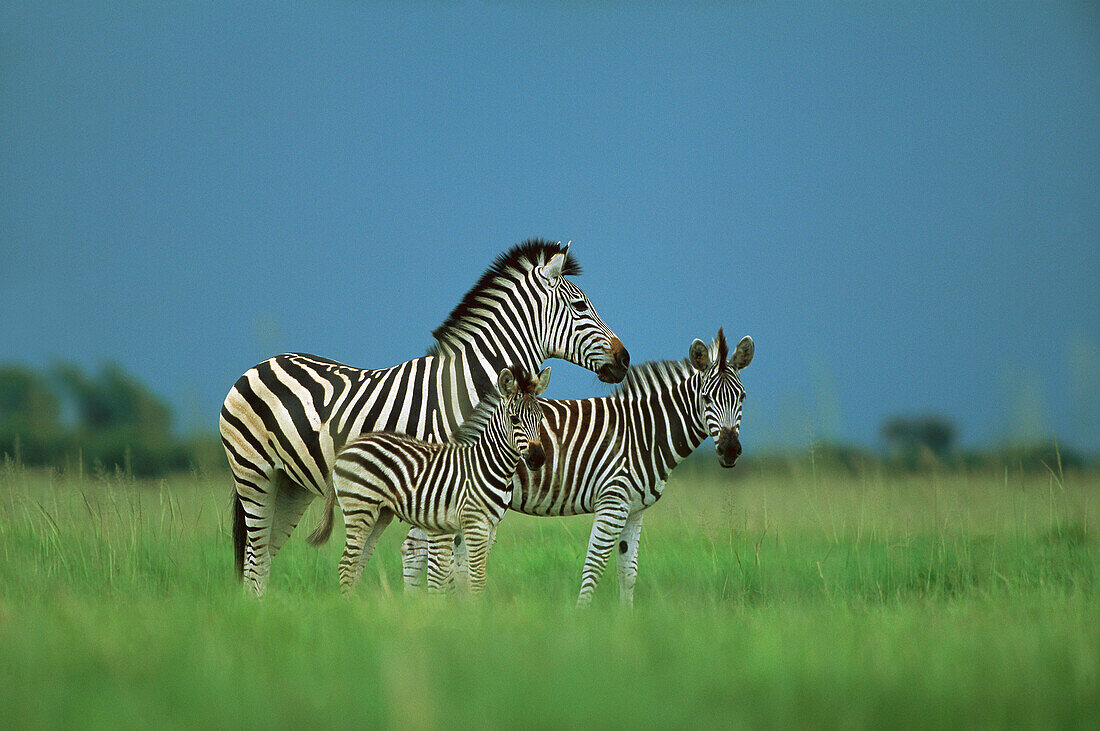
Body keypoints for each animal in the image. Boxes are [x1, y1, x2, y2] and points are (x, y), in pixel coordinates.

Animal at [310, 362, 550, 597]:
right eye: (514, 419)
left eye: (540, 419)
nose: (538, 458)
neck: (487, 463)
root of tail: (347, 447)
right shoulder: (475, 523)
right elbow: (475, 579)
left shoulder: (489, 525)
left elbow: (470, 577)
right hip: (359, 507)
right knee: (346, 564)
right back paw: (348, 605)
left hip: (380, 514)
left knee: (357, 563)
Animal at [400, 327, 752, 606]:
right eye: (706, 398)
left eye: (743, 397)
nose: (731, 450)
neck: (645, 431)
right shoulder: (612, 502)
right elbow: (594, 566)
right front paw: (582, 620)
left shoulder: (635, 509)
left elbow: (628, 571)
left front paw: (628, 624)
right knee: (427, 554)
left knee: (418, 550)